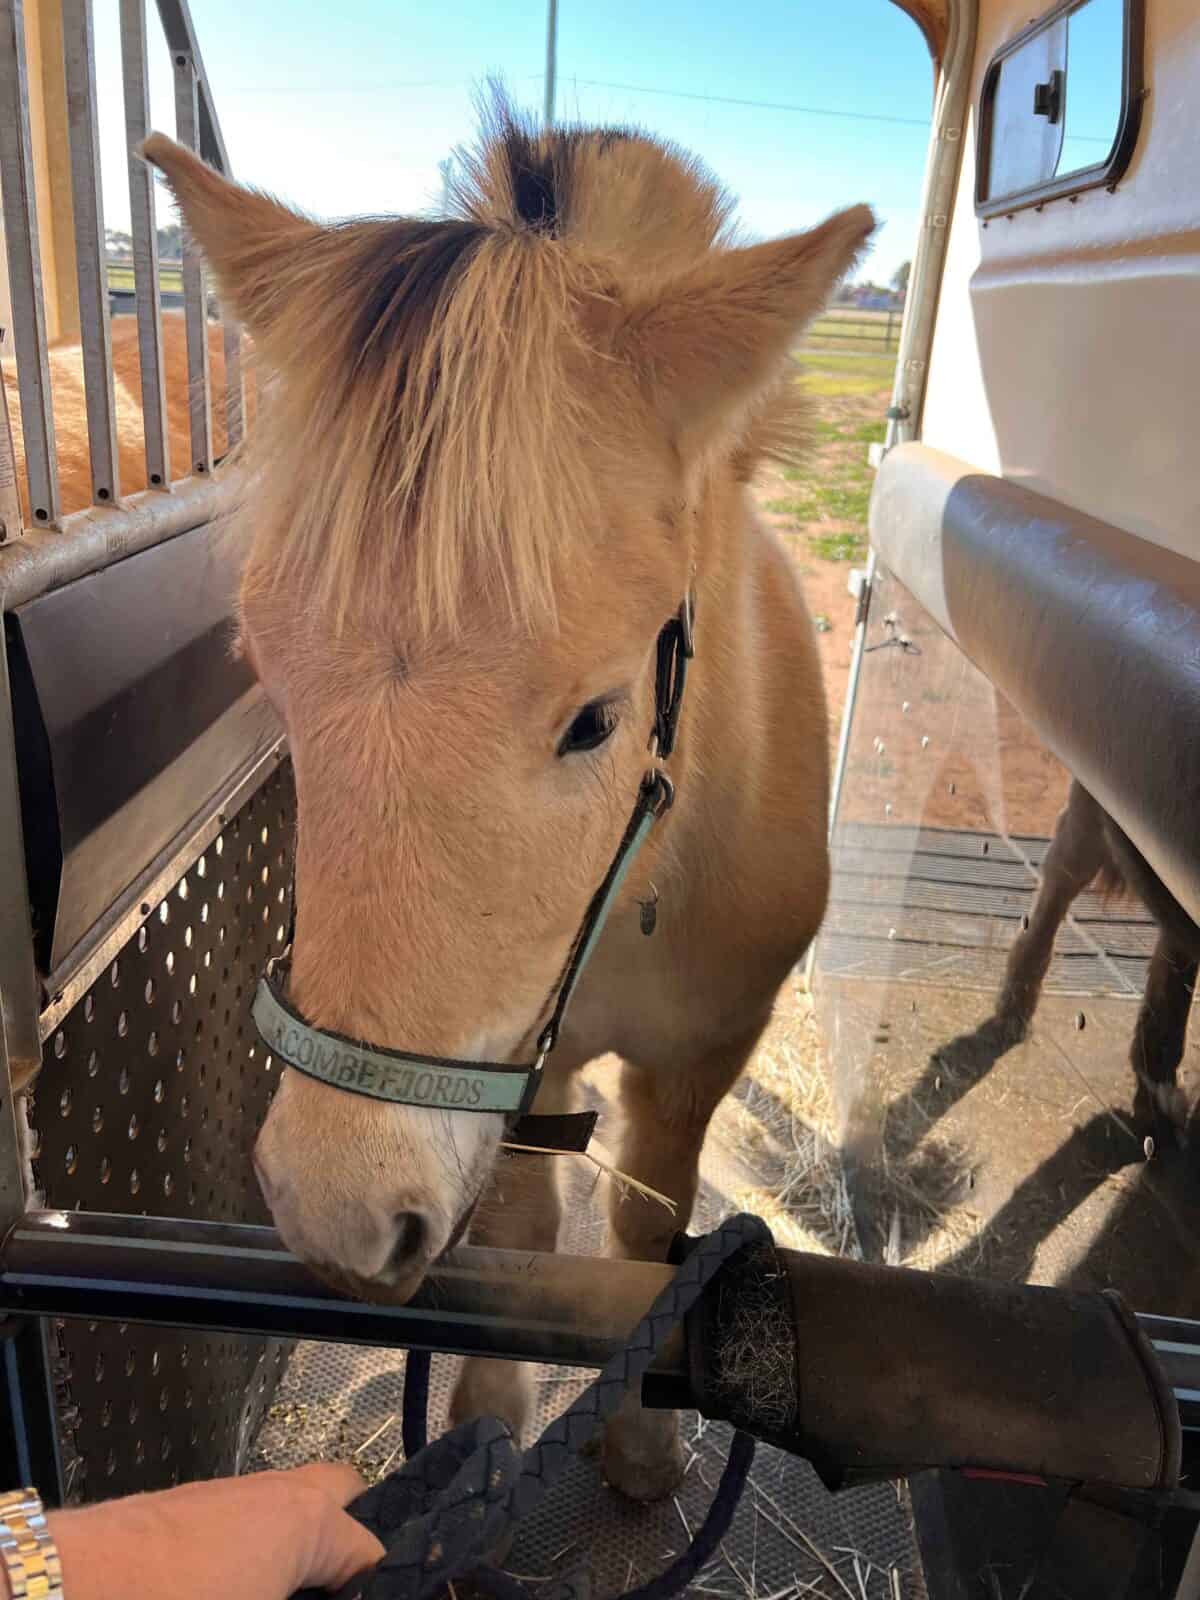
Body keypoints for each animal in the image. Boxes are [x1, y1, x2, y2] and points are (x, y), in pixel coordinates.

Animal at [144, 100, 874, 1500]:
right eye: (266, 671)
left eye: (595, 717)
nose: (337, 1210)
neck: (644, 883)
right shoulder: (518, 1066)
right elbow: (528, 1233)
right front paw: (489, 1415)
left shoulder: (703, 1053)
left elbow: (646, 1220)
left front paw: (640, 1440)